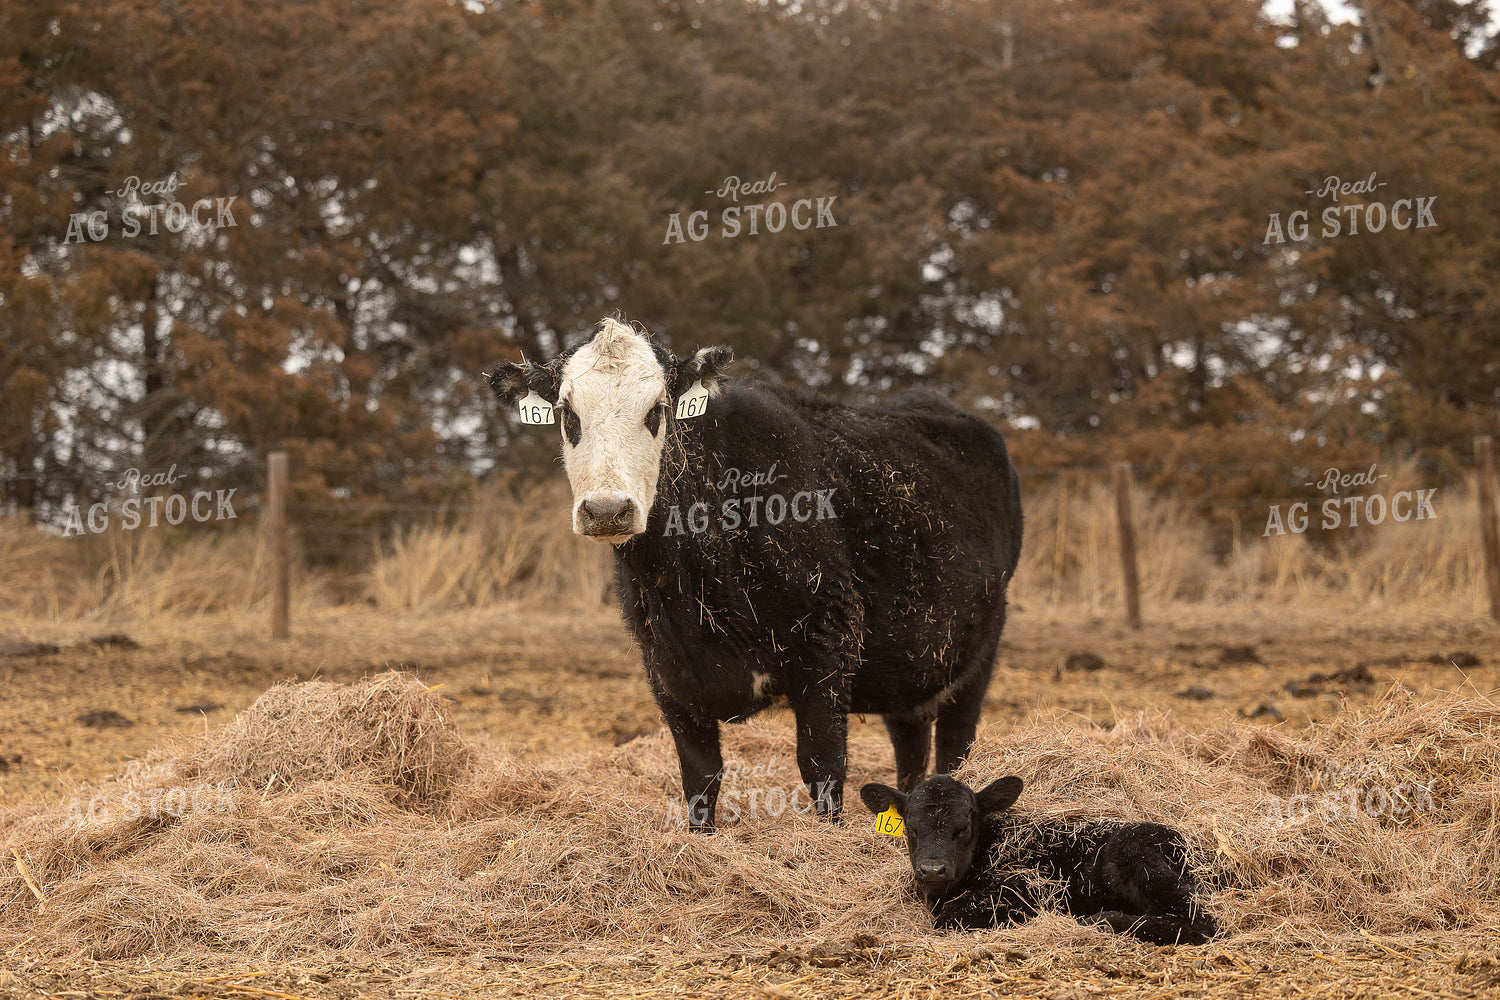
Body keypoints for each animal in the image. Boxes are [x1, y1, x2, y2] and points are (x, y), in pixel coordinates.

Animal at [487, 317, 1022, 831]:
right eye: (567, 414)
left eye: (657, 410)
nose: (606, 510)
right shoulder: (665, 669)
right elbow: (700, 775)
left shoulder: (828, 648)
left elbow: (822, 767)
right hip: (910, 664)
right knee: (910, 745)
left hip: (980, 648)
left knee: (955, 746)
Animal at [860, 775, 1219, 944]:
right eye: (911, 826)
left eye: (964, 827)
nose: (932, 870)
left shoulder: (1028, 885)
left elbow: (951, 915)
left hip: (1138, 859)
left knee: (1204, 921)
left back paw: (1103, 919)